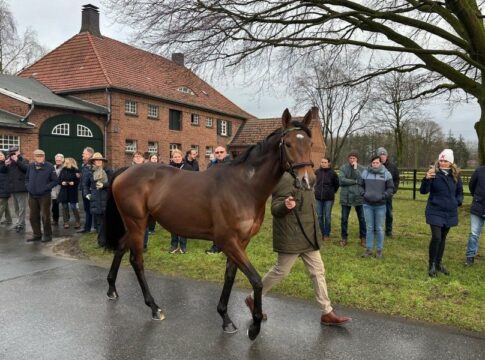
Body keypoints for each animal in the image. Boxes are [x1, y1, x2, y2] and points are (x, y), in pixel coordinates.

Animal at [104, 107, 314, 340]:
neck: (243, 187)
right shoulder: (227, 241)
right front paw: (254, 327)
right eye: (288, 144)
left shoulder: (241, 242)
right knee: (136, 260)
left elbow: (230, 275)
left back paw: (112, 289)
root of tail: (125, 171)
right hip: (137, 224)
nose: (307, 181)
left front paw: (225, 318)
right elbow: (256, 279)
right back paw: (154, 307)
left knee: (120, 248)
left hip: (140, 223)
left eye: (310, 144)